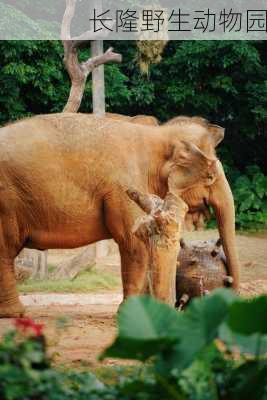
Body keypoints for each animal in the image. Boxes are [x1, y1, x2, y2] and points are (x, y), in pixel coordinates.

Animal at [0, 114, 240, 318]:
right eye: (211, 177)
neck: (158, 134)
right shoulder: (125, 187)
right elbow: (134, 244)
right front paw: (128, 313)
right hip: (6, 201)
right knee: (5, 249)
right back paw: (15, 313)